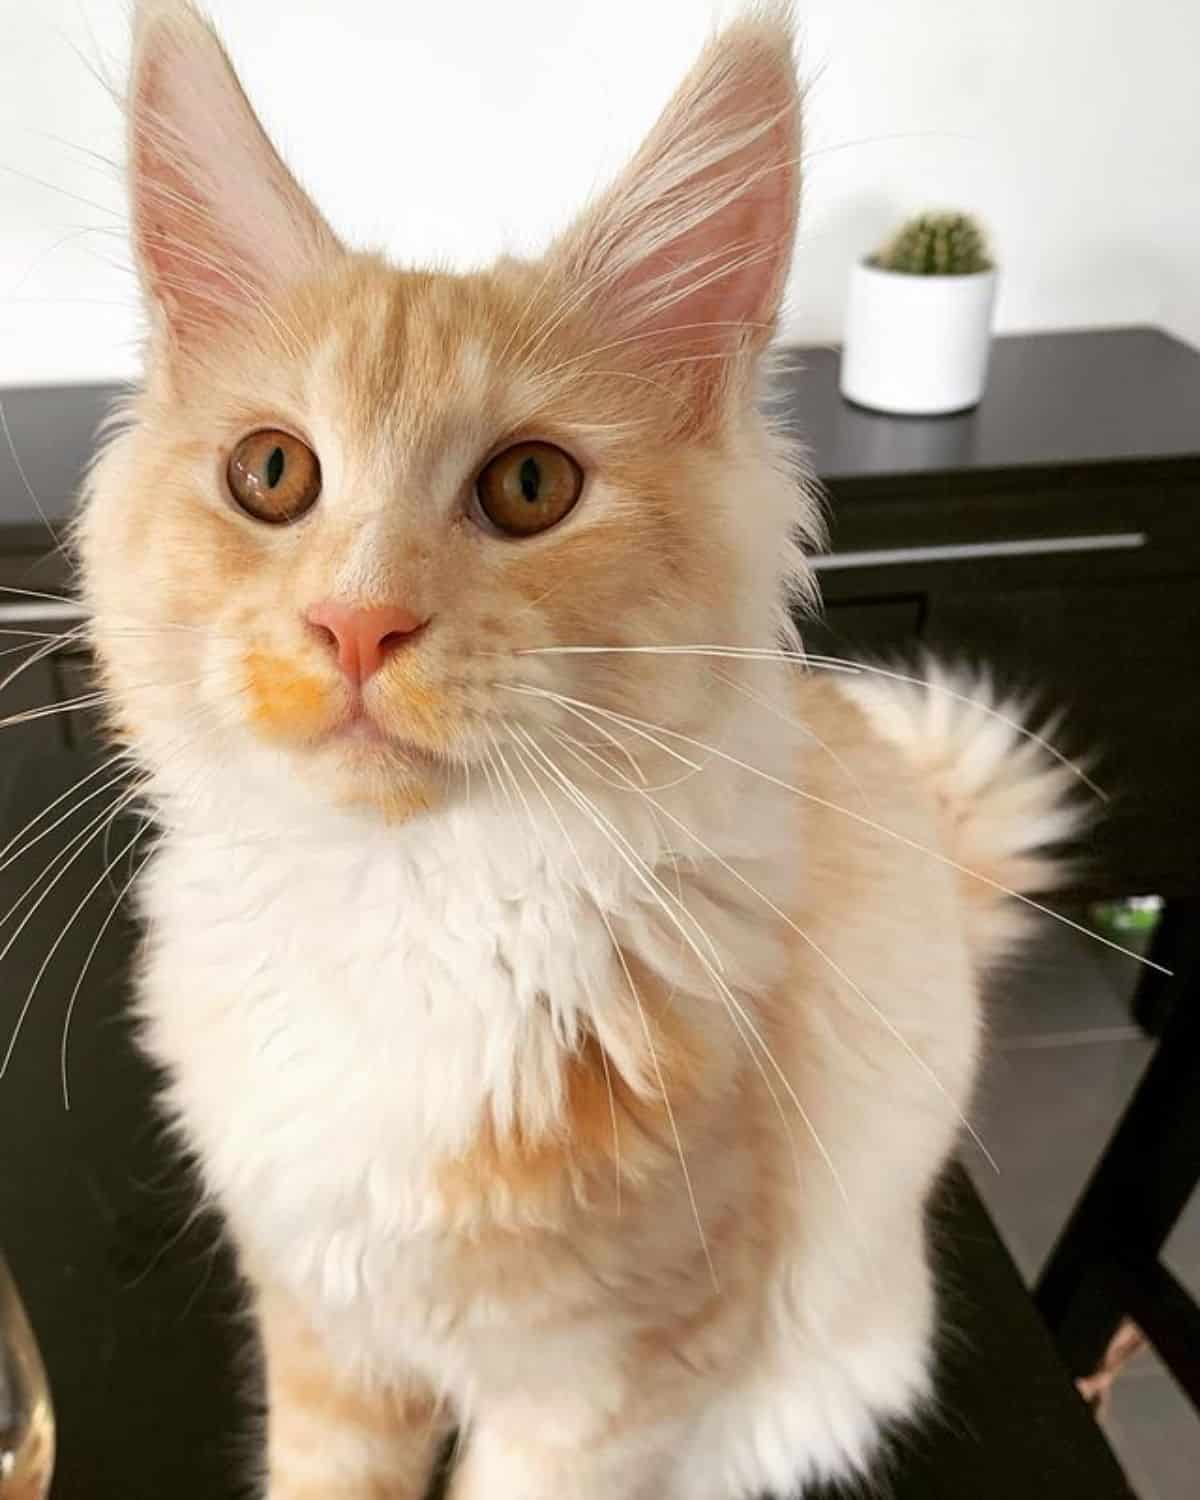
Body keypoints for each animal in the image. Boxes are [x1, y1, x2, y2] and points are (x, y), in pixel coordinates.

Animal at [77, 2, 1080, 1500]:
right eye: (271, 472)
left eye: (530, 487)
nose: (358, 623)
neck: (409, 908)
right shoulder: (325, 1323)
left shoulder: (615, 1382)